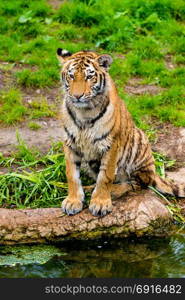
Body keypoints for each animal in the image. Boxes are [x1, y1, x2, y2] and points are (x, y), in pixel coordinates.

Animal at [56, 49, 185, 217]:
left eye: (89, 77)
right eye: (71, 76)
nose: (77, 96)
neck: (84, 112)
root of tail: (152, 171)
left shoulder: (111, 144)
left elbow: (105, 177)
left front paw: (100, 203)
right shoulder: (70, 142)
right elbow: (72, 174)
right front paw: (73, 201)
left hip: (138, 141)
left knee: (138, 183)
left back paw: (112, 191)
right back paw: (89, 189)